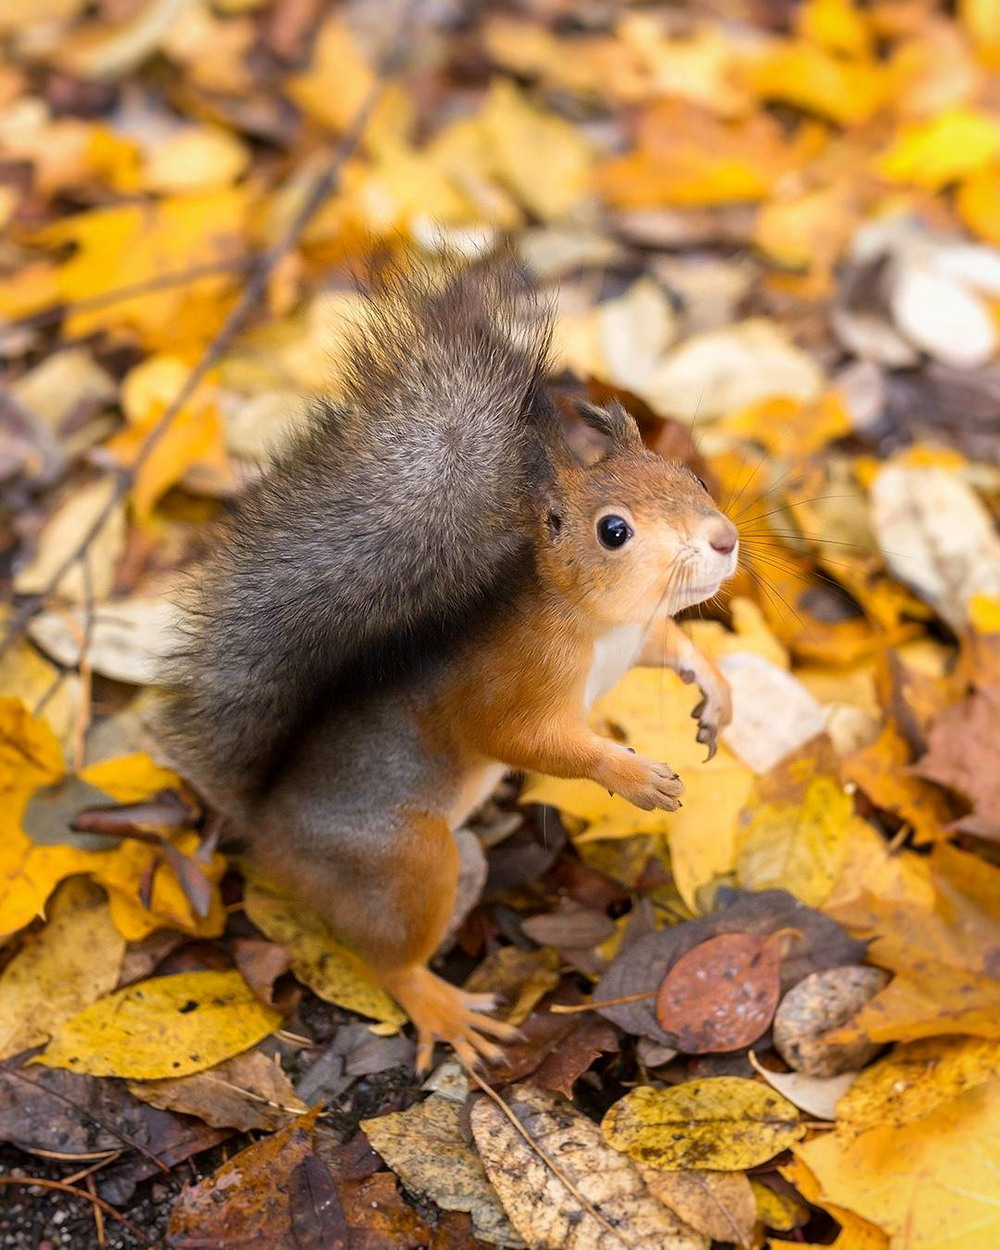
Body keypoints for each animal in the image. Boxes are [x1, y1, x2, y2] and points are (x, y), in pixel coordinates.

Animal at [160, 253, 740, 1065]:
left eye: (688, 478)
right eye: (613, 531)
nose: (724, 540)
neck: (599, 624)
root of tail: (266, 826)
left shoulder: (639, 633)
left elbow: (673, 645)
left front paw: (714, 692)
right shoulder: (516, 681)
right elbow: (525, 740)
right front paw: (631, 774)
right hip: (407, 858)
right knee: (390, 957)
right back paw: (441, 1006)